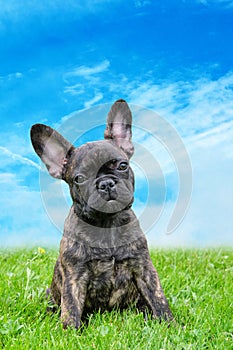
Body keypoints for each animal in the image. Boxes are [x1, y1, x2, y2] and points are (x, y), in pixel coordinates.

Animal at [30, 98, 173, 328]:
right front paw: (70, 331)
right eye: (79, 178)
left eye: (122, 165)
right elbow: (71, 307)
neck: (107, 223)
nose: (105, 183)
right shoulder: (74, 276)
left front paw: (170, 325)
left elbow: (158, 298)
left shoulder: (144, 268)